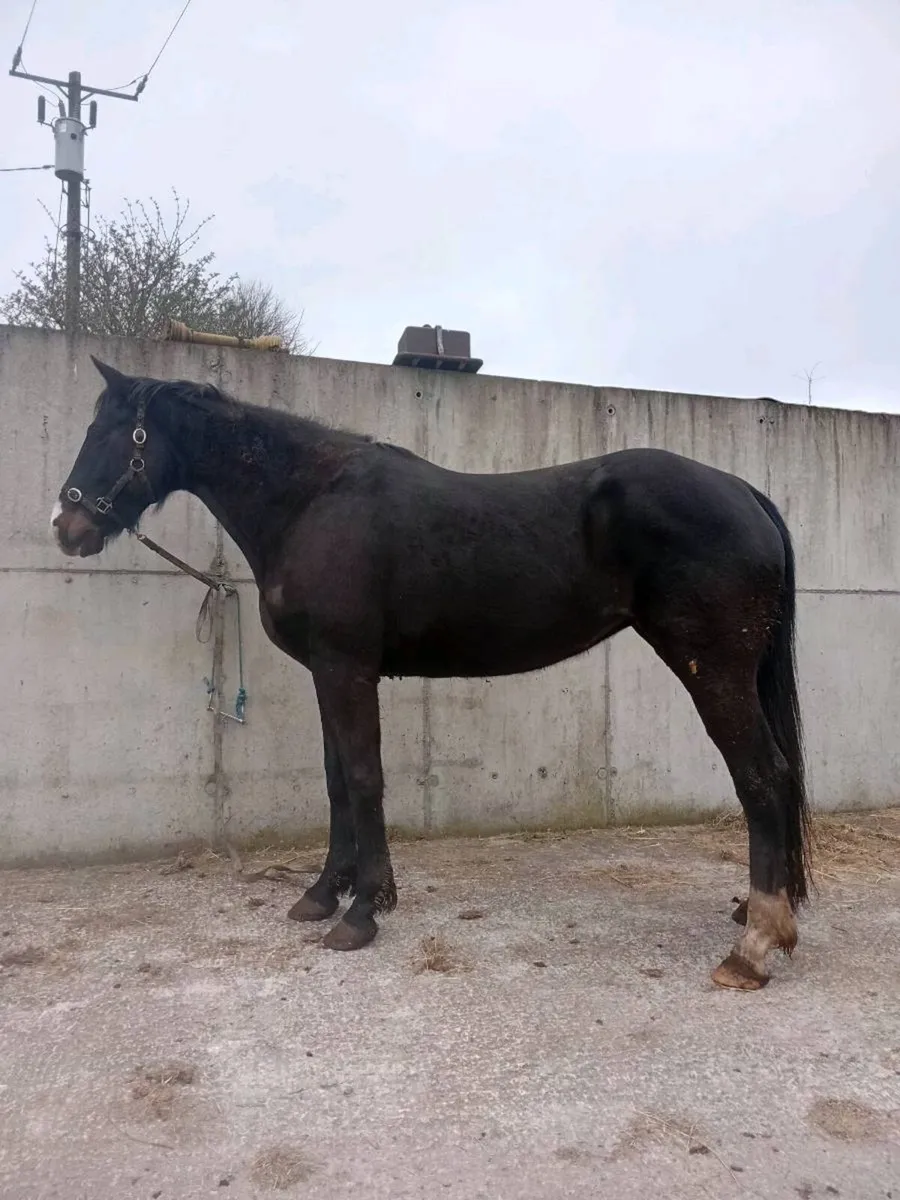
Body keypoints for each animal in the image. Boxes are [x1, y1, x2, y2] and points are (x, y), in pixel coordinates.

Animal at [51, 357, 811, 989]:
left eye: (116, 432)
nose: (66, 526)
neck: (311, 500)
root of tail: (745, 491)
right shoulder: (327, 673)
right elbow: (336, 782)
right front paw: (322, 893)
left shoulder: (347, 669)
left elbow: (364, 778)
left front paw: (364, 911)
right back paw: (758, 914)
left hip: (712, 669)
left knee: (762, 776)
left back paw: (753, 948)